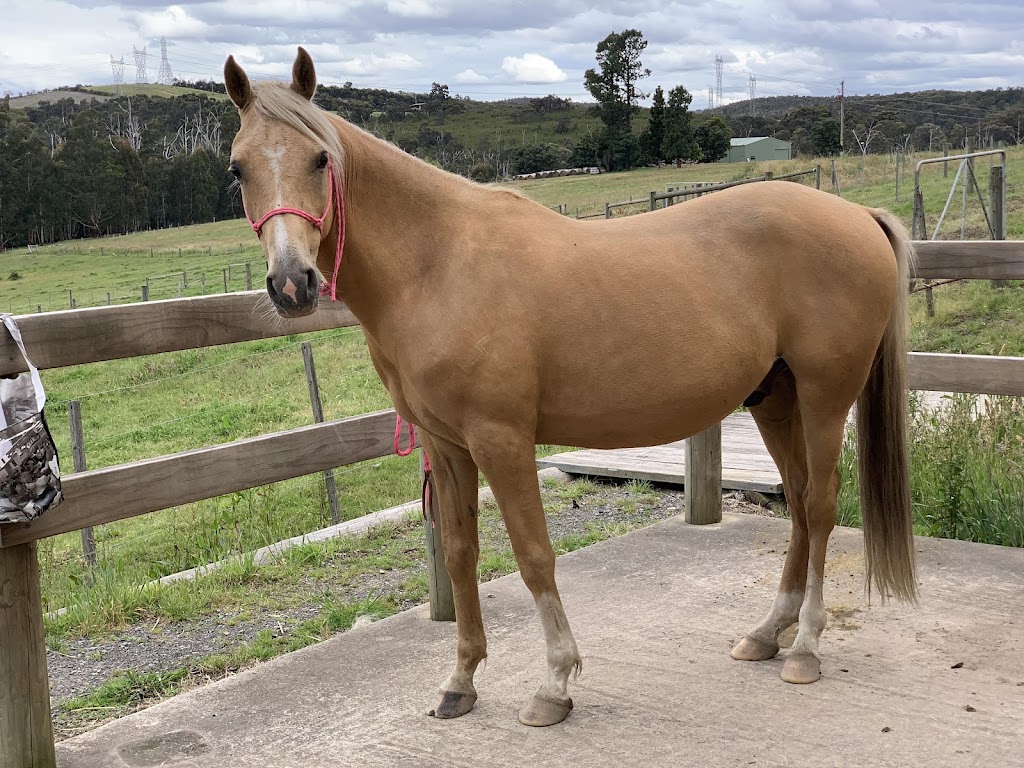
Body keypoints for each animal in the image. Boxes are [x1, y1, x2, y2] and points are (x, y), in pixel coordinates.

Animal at [224, 48, 917, 727]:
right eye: (238, 169)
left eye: (320, 158)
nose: (291, 284)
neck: (438, 264)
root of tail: (857, 214)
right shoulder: (446, 446)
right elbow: (461, 553)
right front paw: (460, 682)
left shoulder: (502, 441)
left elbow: (533, 555)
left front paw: (555, 683)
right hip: (775, 400)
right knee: (798, 502)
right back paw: (768, 633)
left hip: (825, 397)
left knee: (821, 507)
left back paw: (805, 648)